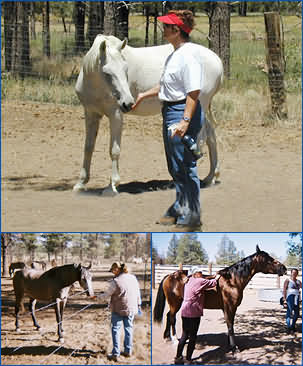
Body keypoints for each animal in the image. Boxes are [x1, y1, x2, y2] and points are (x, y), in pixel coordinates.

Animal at [73, 34, 223, 194]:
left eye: (126, 68)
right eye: (107, 73)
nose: (128, 103)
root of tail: (217, 60)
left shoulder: (116, 115)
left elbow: (114, 150)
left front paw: (111, 187)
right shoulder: (91, 114)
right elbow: (88, 147)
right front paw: (80, 184)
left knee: (201, 139)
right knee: (211, 137)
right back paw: (210, 178)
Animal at [154, 246, 288, 352]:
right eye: (268, 259)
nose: (284, 268)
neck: (232, 281)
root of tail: (170, 275)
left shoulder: (226, 308)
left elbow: (229, 325)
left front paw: (230, 344)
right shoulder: (230, 307)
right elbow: (230, 325)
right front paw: (234, 347)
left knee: (168, 316)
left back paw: (167, 337)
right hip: (175, 303)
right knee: (172, 318)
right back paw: (175, 340)